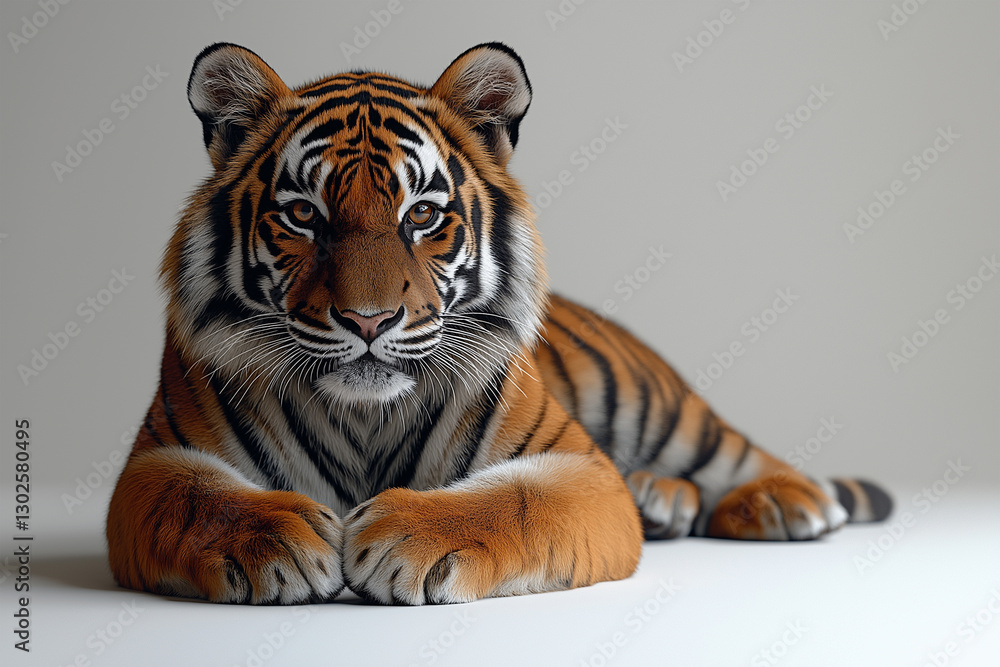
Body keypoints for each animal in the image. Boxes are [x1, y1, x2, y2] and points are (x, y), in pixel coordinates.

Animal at [106, 42, 893, 606]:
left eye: (422, 215)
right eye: (303, 214)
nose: (368, 320)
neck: (366, 418)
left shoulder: (580, 465)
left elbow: (514, 499)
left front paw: (404, 535)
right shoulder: (152, 463)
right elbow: (199, 497)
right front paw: (280, 537)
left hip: (664, 407)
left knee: (738, 454)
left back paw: (786, 501)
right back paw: (664, 500)